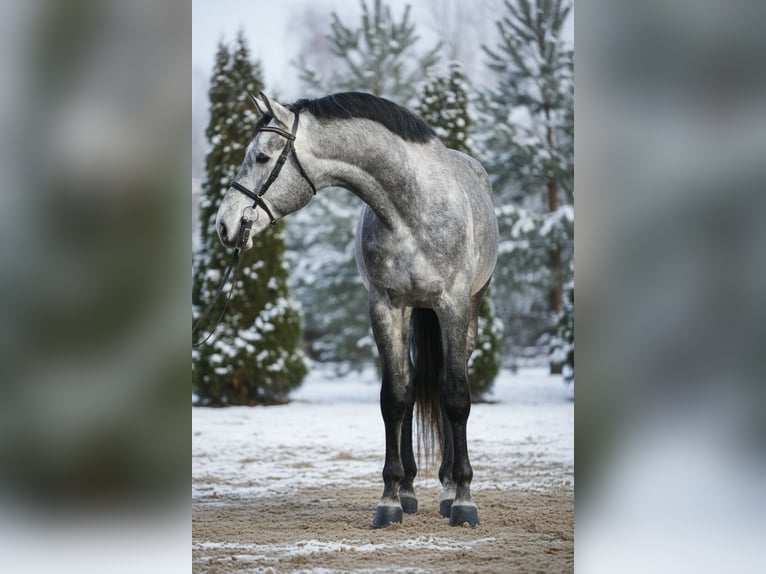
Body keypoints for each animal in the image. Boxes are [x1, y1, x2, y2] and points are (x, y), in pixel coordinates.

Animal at [215, 91, 499, 528]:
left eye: (262, 157)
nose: (224, 225)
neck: (411, 211)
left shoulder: (451, 305)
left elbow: (455, 397)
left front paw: (464, 501)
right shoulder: (384, 307)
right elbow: (395, 397)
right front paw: (391, 499)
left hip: (469, 310)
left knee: (452, 383)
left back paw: (451, 489)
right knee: (411, 385)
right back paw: (411, 489)